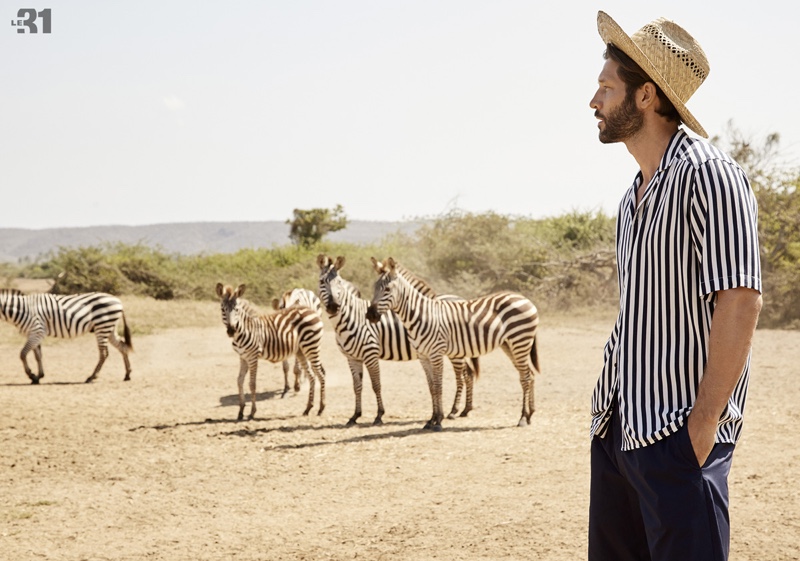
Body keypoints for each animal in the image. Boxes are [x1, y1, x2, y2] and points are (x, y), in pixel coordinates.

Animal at [0, 289, 132, 384]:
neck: (22, 310)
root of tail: (117, 300)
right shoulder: (33, 334)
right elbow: (38, 356)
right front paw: (38, 376)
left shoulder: (37, 331)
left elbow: (22, 354)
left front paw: (31, 375)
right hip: (109, 328)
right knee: (122, 346)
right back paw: (127, 374)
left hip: (103, 326)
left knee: (104, 353)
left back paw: (91, 377)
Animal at [216, 282, 326, 421]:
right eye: (223, 309)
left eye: (236, 309)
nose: (231, 331)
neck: (245, 329)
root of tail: (310, 310)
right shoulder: (243, 357)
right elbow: (239, 381)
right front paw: (240, 411)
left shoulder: (252, 357)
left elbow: (252, 384)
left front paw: (252, 412)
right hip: (301, 350)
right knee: (312, 375)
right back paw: (308, 408)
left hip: (311, 346)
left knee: (320, 374)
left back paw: (321, 408)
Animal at [317, 254, 477, 426]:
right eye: (322, 282)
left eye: (339, 283)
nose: (333, 306)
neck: (351, 317)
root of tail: (460, 298)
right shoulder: (352, 358)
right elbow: (357, 386)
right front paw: (355, 416)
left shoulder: (370, 354)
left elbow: (376, 385)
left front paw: (379, 415)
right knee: (469, 374)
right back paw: (465, 409)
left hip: (455, 351)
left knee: (462, 376)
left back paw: (454, 410)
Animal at [366, 257, 540, 431]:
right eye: (374, 288)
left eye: (387, 289)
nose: (370, 315)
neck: (422, 315)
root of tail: (525, 299)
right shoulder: (423, 356)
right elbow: (431, 387)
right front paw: (431, 420)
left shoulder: (436, 354)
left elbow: (438, 386)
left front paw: (438, 420)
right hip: (509, 344)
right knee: (529, 374)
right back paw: (530, 415)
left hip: (520, 341)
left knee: (525, 377)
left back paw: (522, 417)